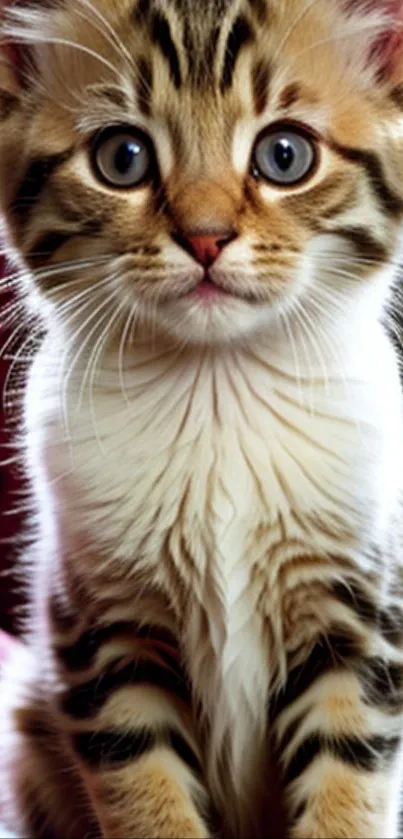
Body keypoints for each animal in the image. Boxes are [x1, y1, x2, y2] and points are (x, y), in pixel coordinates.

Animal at [0, 0, 403, 836]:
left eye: (284, 154)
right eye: (122, 157)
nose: (206, 236)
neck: (217, 388)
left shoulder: (361, 606)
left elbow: (348, 777)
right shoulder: (100, 625)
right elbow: (143, 788)